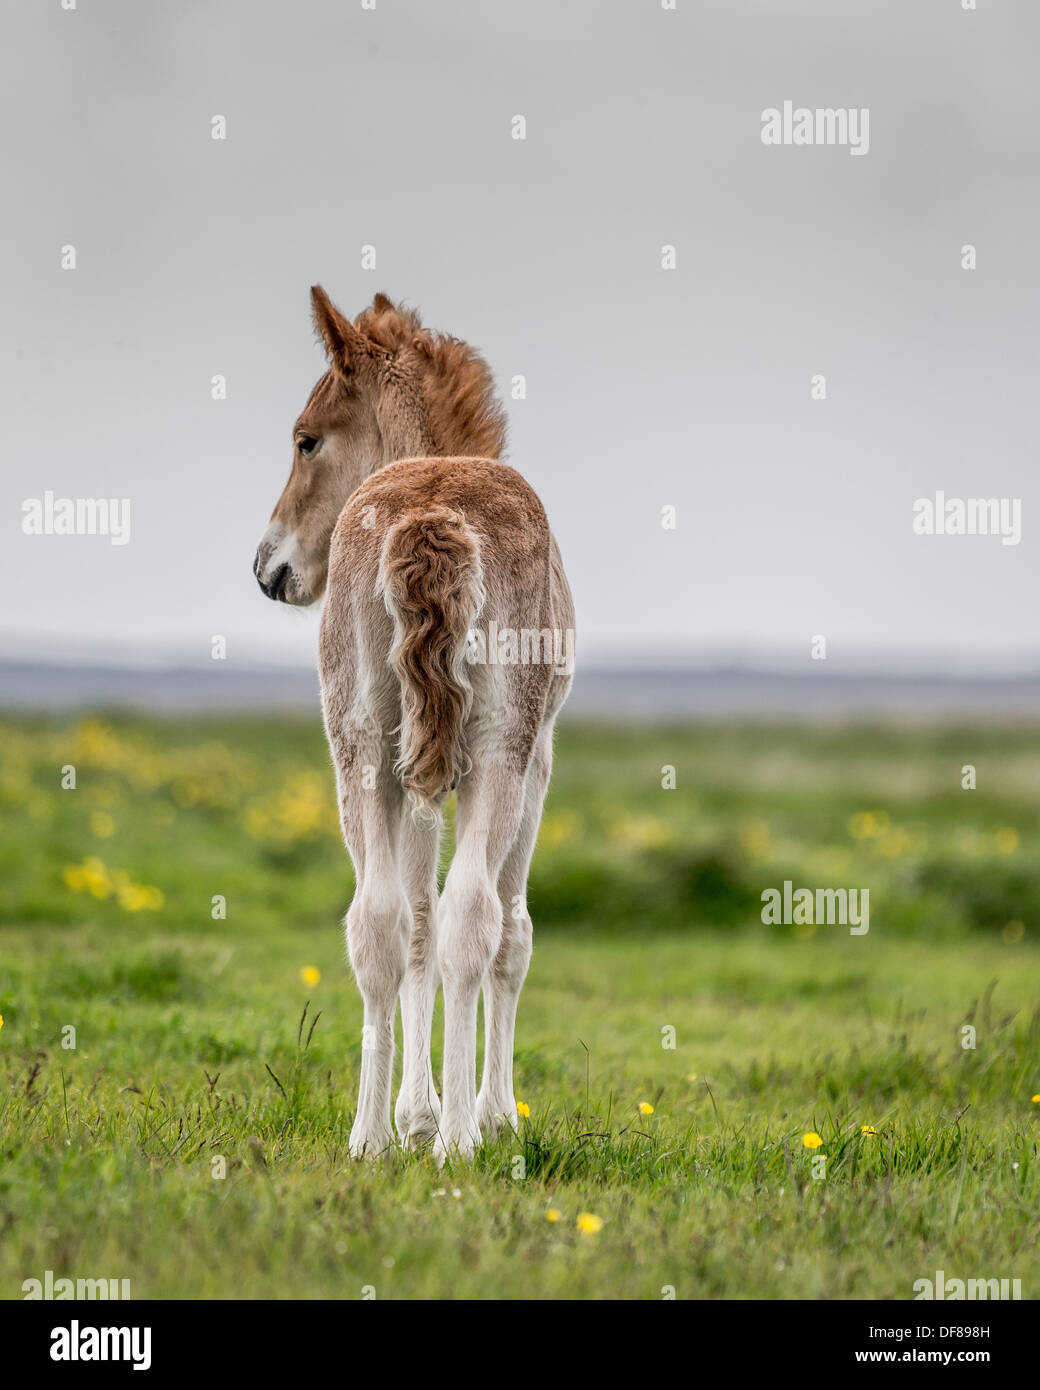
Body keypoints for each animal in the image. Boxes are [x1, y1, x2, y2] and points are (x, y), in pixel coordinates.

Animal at [254, 287, 572, 1156]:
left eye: (306, 439)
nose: (268, 569)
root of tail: (431, 511)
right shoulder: (535, 760)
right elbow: (506, 932)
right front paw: (484, 1114)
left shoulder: (415, 767)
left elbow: (415, 924)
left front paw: (413, 1113)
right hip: (498, 750)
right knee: (474, 916)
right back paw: (462, 1137)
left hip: (361, 747)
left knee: (378, 924)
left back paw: (369, 1137)